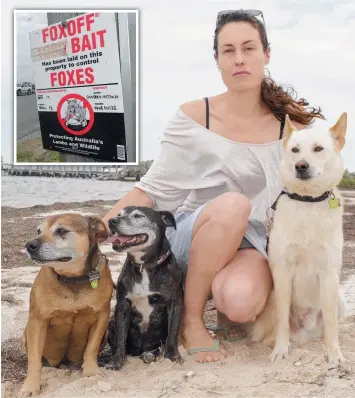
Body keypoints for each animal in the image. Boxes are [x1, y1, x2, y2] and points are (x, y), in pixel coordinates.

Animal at [17, 213, 114, 396]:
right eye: (38, 231)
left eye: (62, 231)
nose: (29, 245)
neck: (72, 278)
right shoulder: (37, 321)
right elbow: (34, 360)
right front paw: (30, 387)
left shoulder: (102, 317)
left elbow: (91, 348)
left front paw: (91, 372)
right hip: (27, 332)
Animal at [105, 207, 184, 368]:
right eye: (119, 214)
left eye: (138, 216)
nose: (111, 221)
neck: (144, 266)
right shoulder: (122, 305)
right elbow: (121, 336)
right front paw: (116, 361)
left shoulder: (175, 301)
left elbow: (173, 331)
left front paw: (172, 354)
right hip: (111, 322)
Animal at [252, 111, 350, 364]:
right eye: (295, 150)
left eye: (318, 149)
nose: (301, 165)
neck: (308, 203)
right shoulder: (283, 273)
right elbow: (282, 325)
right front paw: (280, 350)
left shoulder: (329, 274)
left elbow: (332, 327)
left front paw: (334, 354)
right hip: (271, 301)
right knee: (269, 333)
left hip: (339, 300)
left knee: (325, 327)